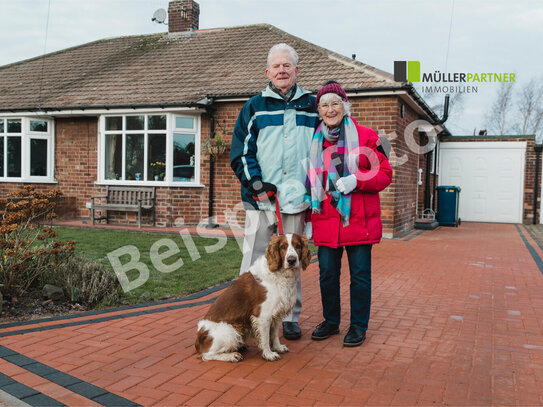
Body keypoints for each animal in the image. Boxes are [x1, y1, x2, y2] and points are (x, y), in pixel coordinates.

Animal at [198, 233, 312, 364]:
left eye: (298, 246)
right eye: (283, 247)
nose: (292, 260)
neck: (280, 274)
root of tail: (198, 340)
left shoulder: (276, 312)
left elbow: (274, 334)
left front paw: (278, 347)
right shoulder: (263, 316)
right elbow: (265, 338)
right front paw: (268, 354)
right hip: (229, 331)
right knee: (207, 355)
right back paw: (231, 356)